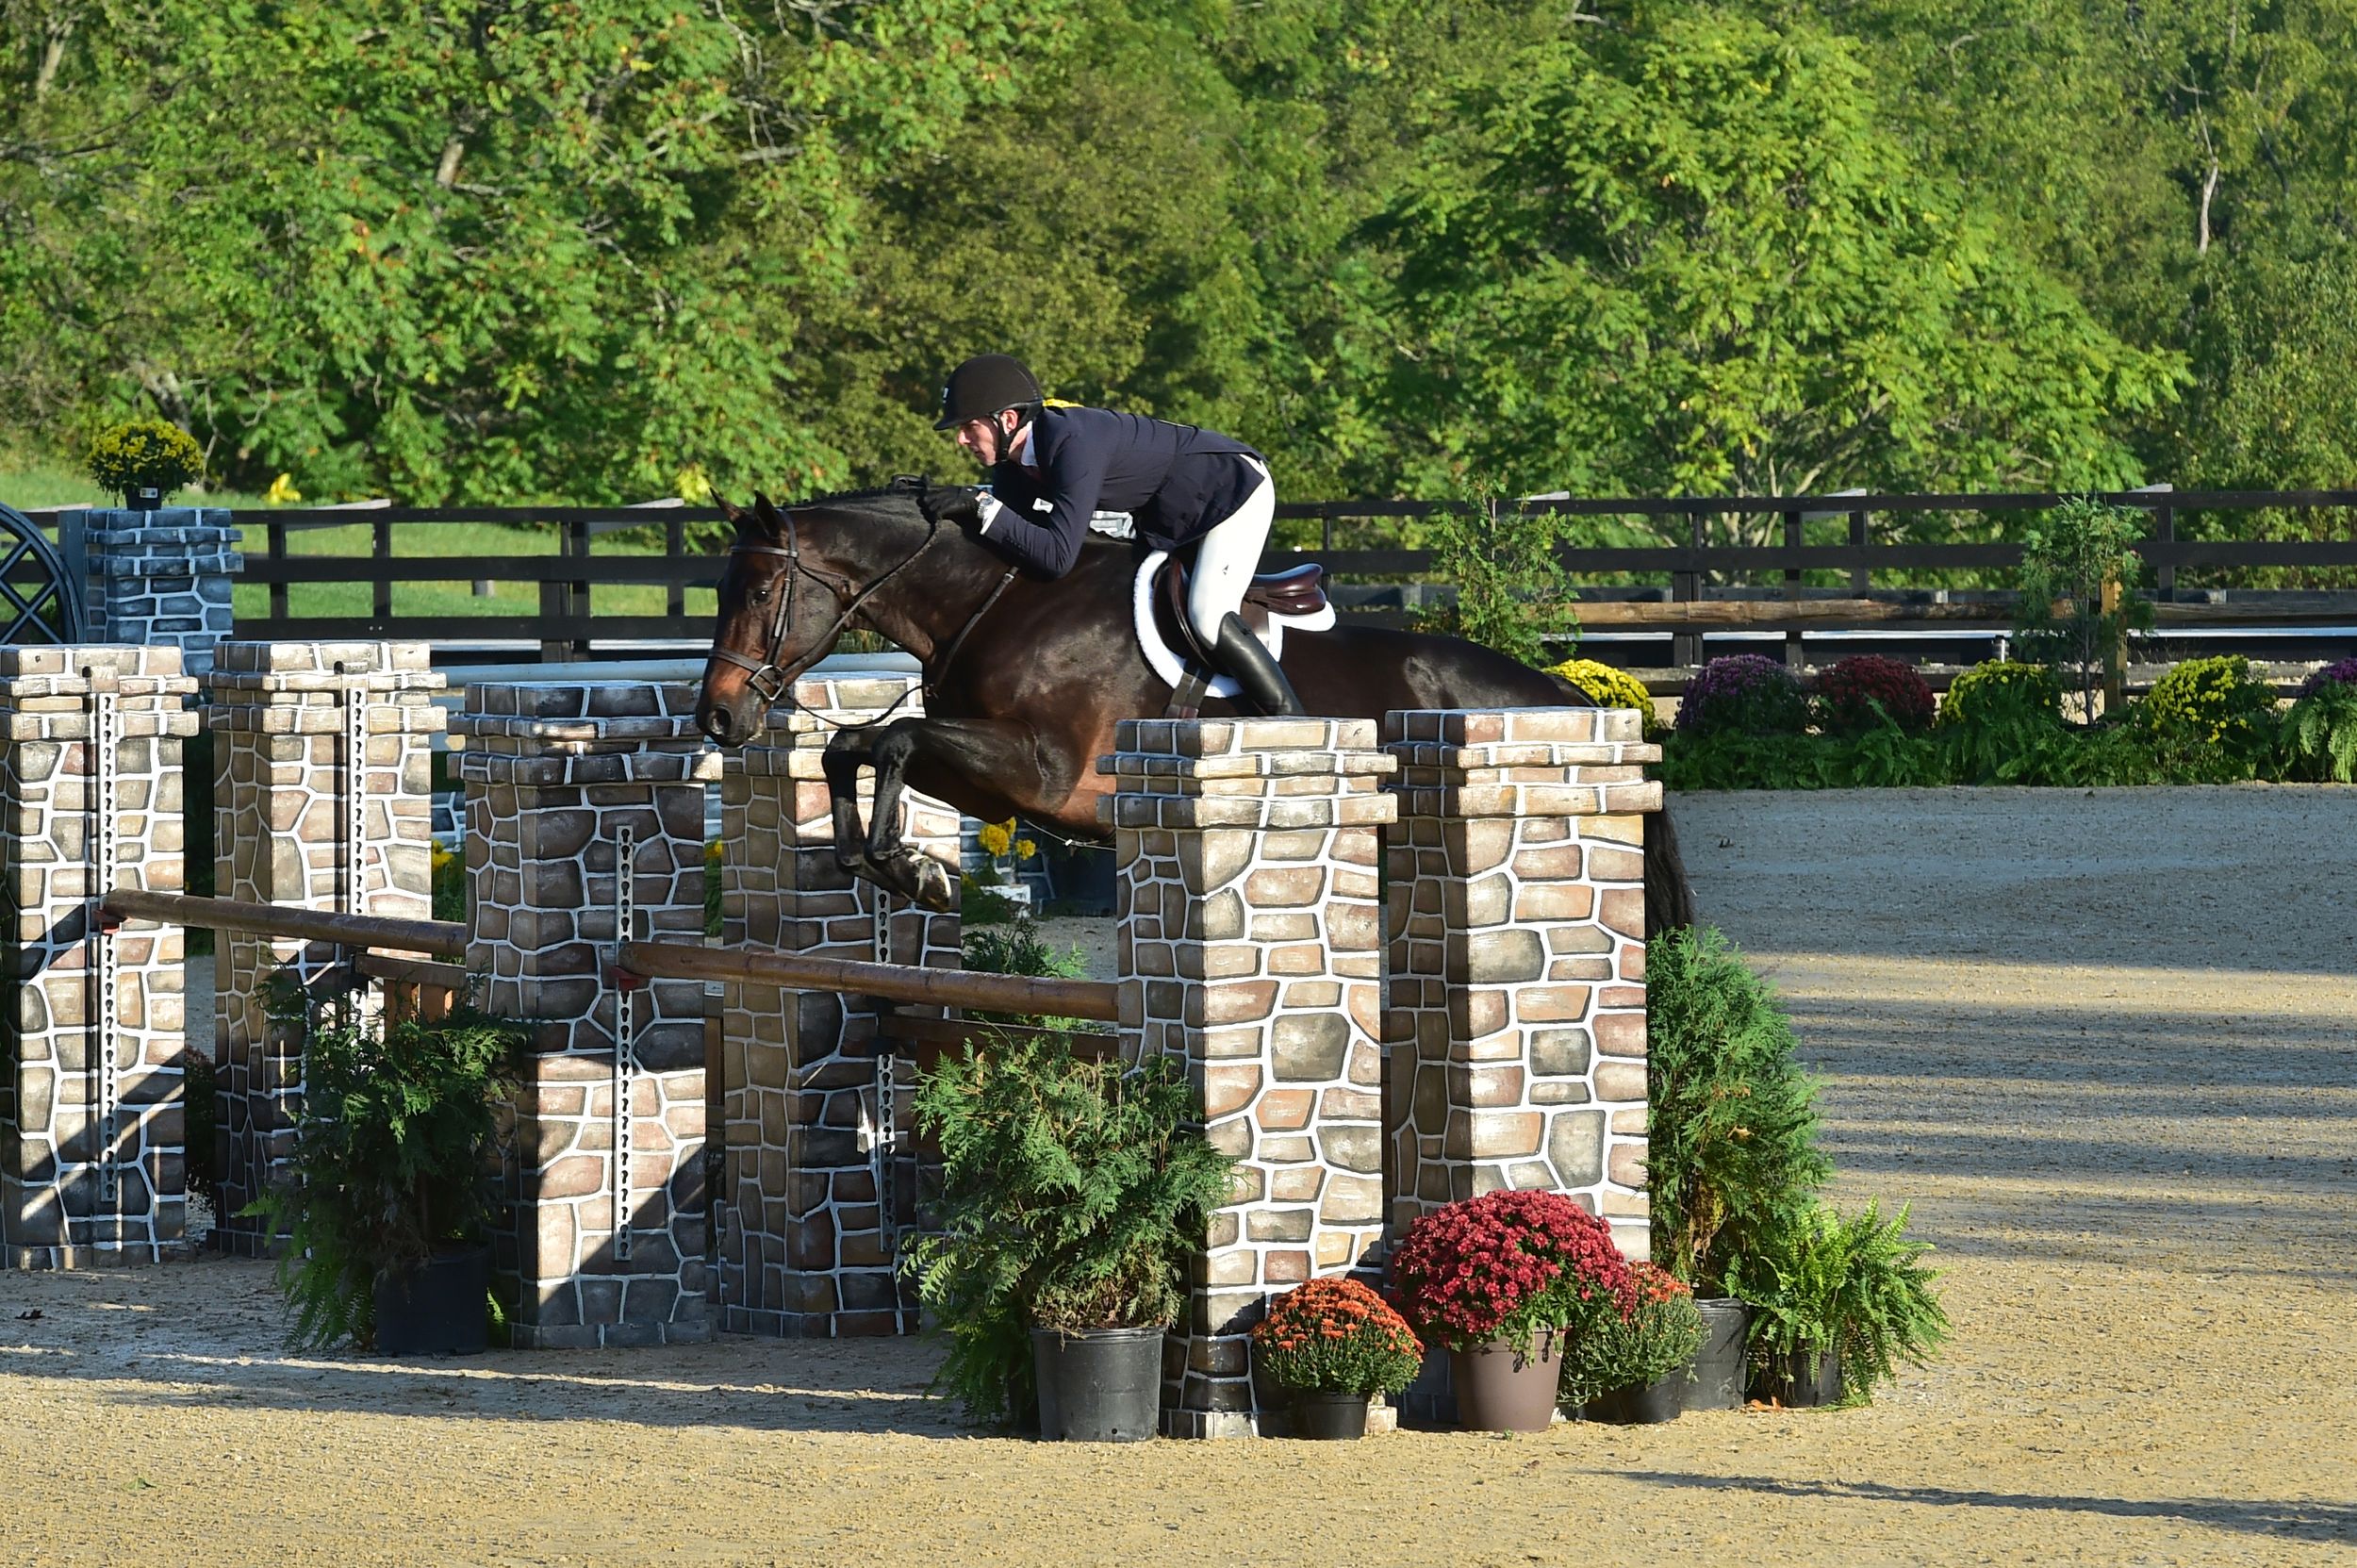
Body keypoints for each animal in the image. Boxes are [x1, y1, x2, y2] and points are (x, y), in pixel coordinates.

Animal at [694, 481, 1695, 934]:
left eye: (757, 594)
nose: (719, 719)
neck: (999, 598)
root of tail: (1561, 692)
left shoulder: (1042, 774)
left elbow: (894, 737)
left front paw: (912, 869)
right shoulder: (996, 785)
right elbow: (852, 746)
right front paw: (890, 863)